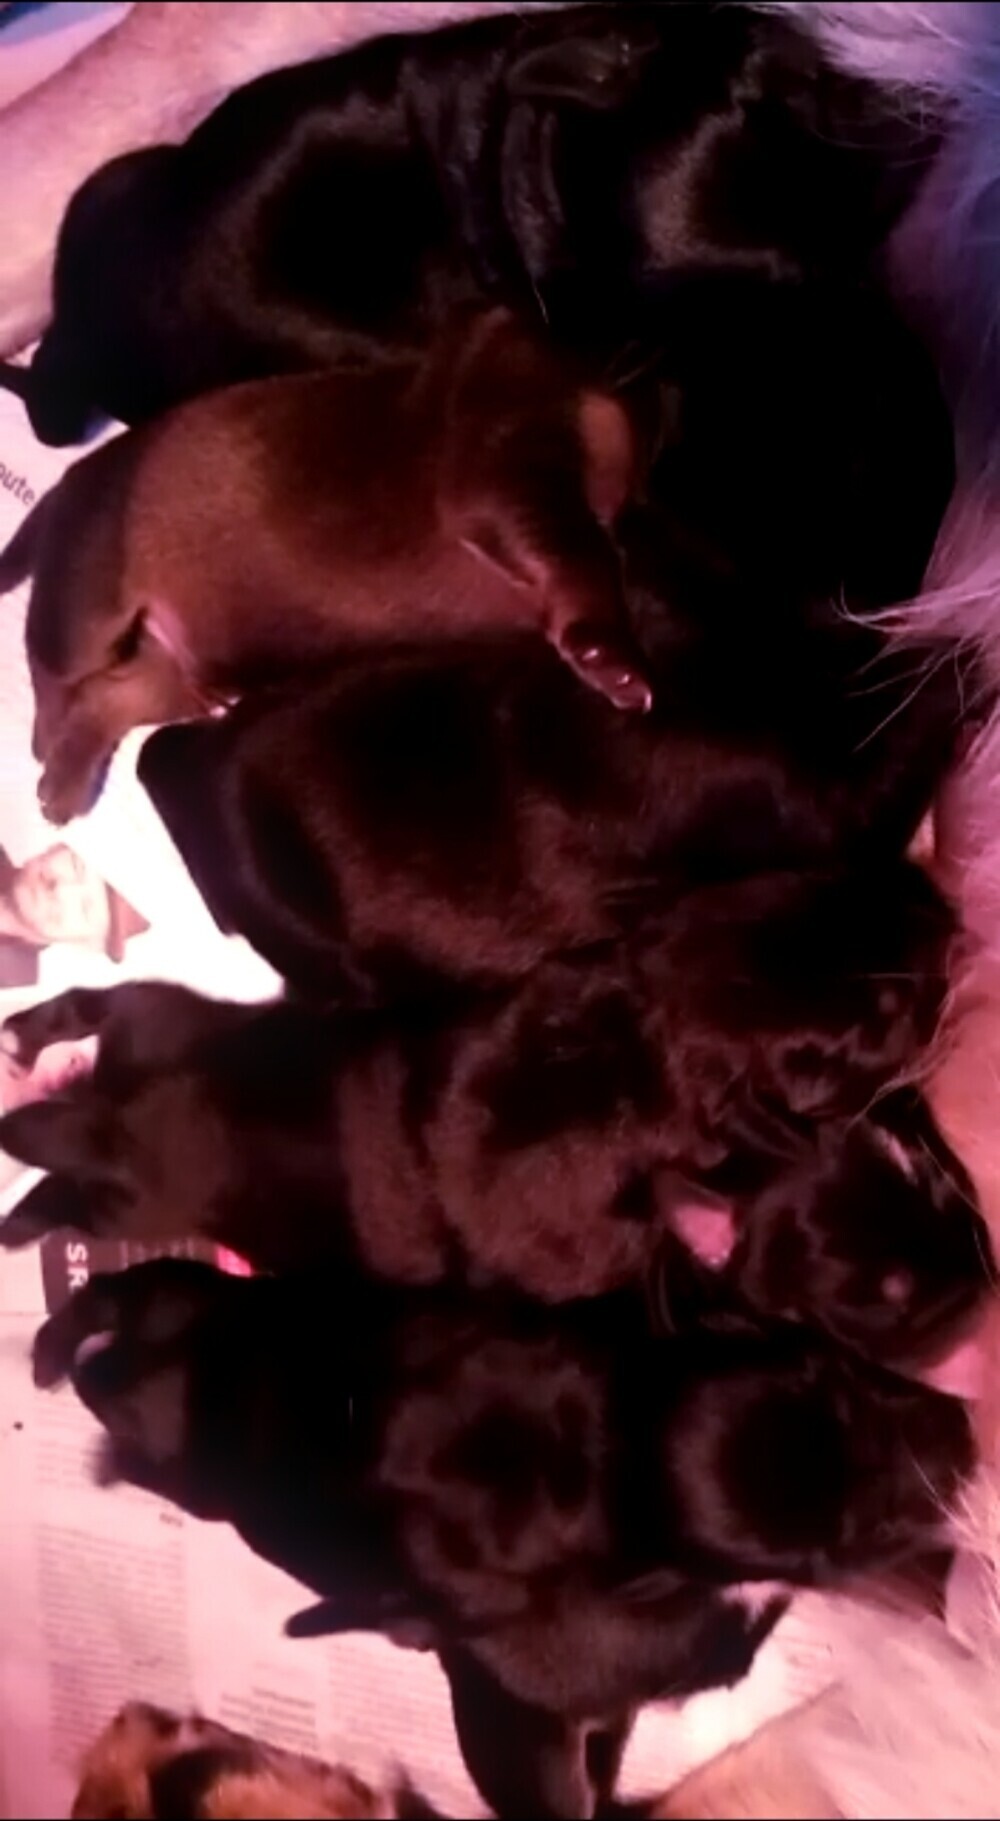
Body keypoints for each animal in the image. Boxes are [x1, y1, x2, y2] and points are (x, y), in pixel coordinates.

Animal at [0, 3, 939, 443]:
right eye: (797, 310)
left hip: (115, 180)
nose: (907, 114)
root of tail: (93, 344)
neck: (549, 170)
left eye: (789, 76)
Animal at [0, 861, 990, 1359]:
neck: (655, 1024)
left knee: (93, 1003)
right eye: (884, 1019)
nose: (949, 923)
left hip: (167, 1013)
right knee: (64, 1180)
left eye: (833, 882)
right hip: (132, 1197)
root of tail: (111, 1109)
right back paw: (21, 1210)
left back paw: (24, 1037)